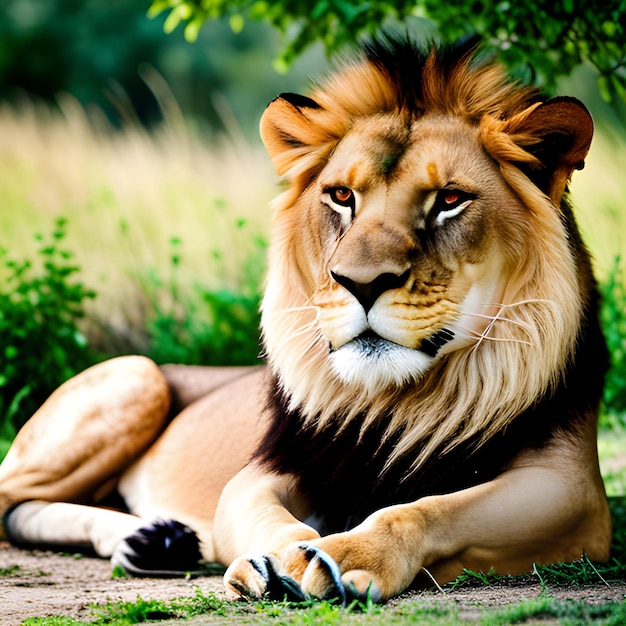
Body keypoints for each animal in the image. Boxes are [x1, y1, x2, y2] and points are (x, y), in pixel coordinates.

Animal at [0, 36, 608, 604]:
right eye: (341, 196)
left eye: (450, 199)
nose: (360, 283)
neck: (399, 403)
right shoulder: (263, 473)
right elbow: (271, 519)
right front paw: (284, 559)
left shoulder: (571, 495)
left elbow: (424, 509)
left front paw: (347, 555)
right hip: (138, 374)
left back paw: (154, 541)